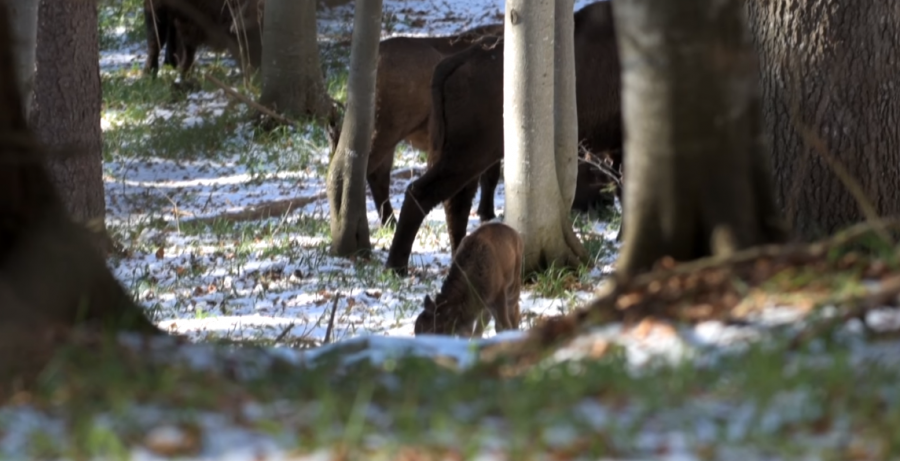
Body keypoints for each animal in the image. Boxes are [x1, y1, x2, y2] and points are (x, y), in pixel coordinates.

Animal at [386, 0, 624, 274]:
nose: (603, 203)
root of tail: (457, 61)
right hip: (466, 156)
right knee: (422, 194)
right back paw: (396, 266)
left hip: (466, 157)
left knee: (457, 203)